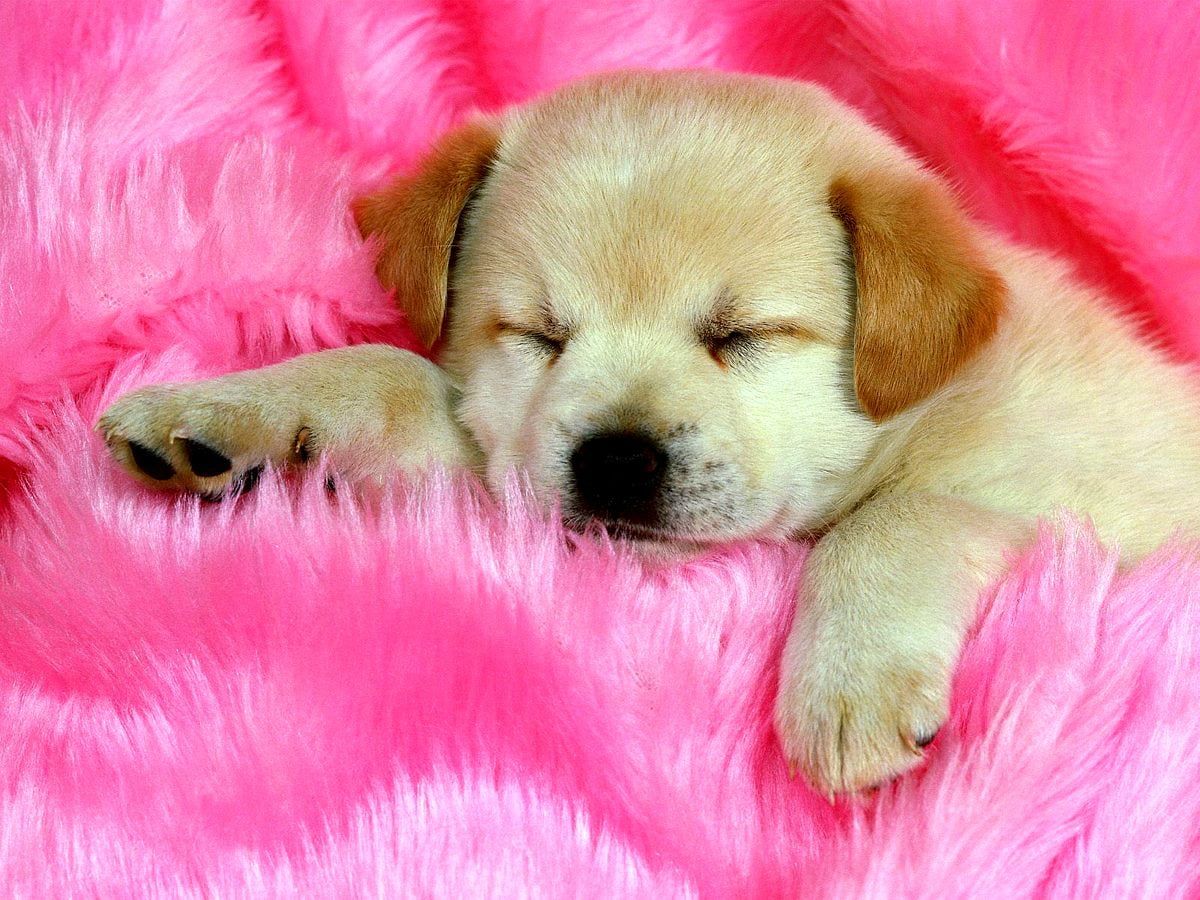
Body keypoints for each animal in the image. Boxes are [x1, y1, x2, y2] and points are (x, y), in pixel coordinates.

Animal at [96, 74, 1200, 801]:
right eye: (538, 334)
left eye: (742, 335)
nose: (616, 459)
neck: (924, 408)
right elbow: (385, 373)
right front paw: (218, 413)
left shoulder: (1089, 504)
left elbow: (894, 523)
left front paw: (847, 688)